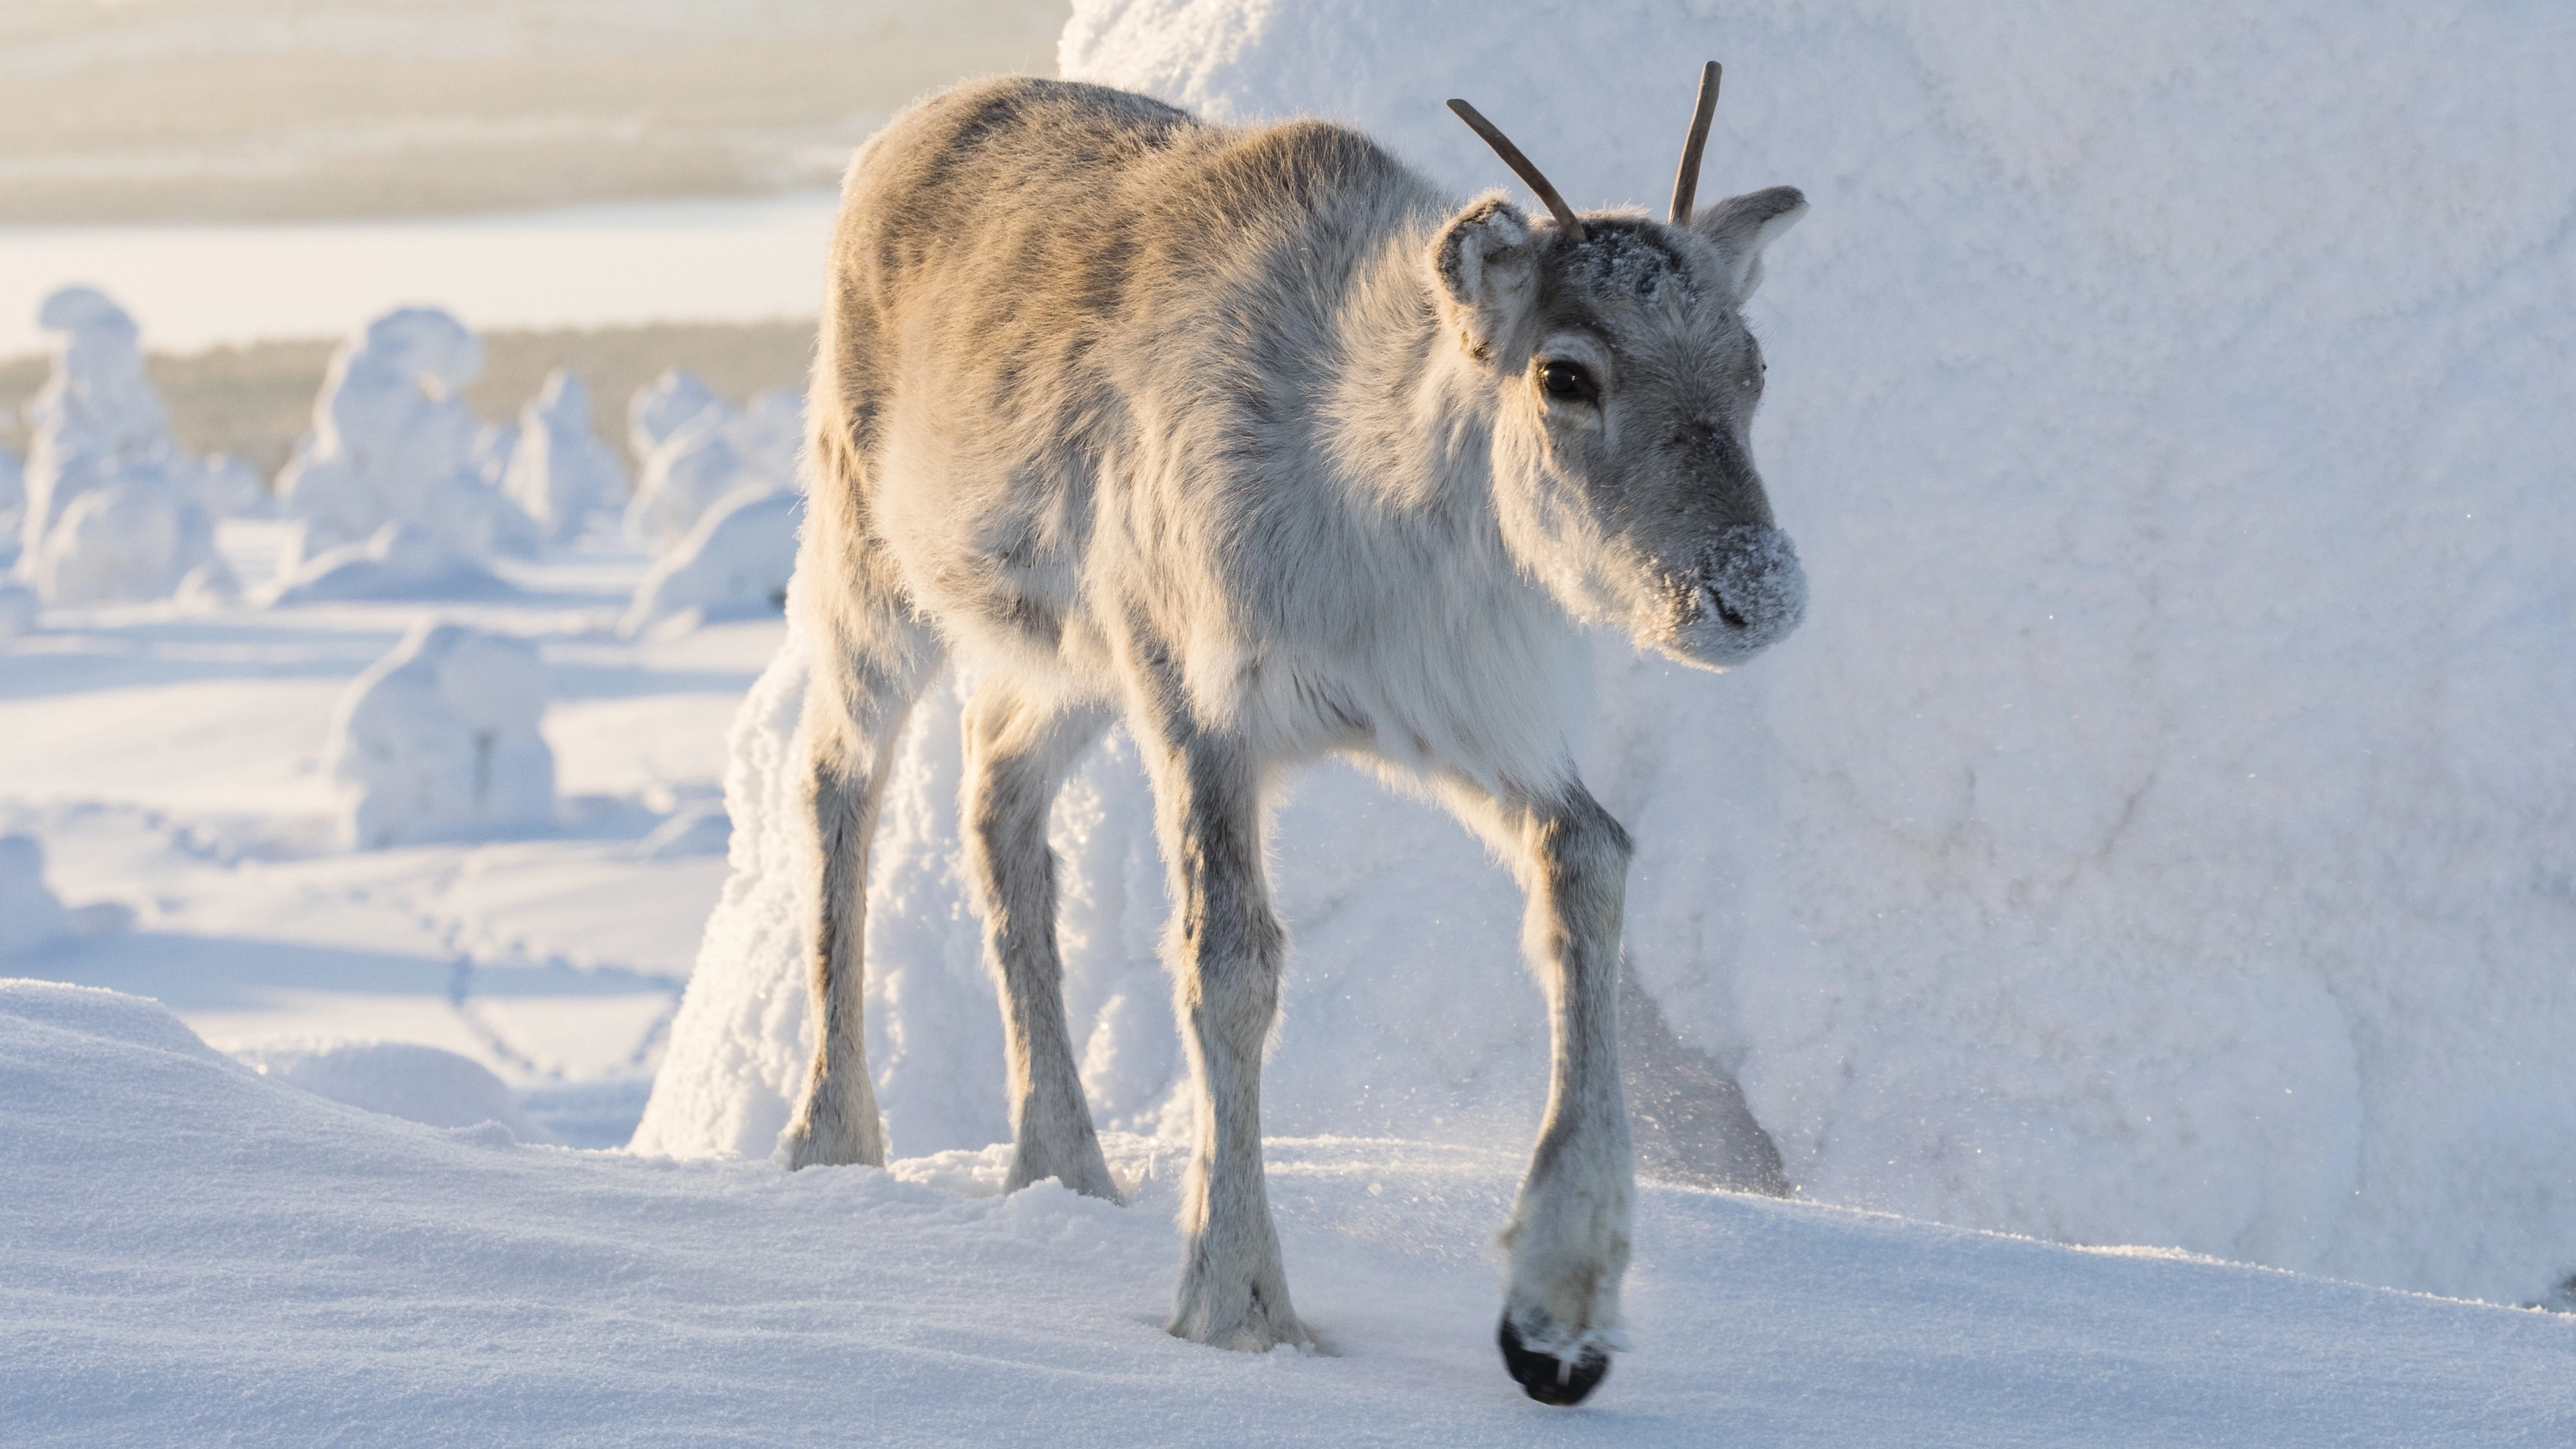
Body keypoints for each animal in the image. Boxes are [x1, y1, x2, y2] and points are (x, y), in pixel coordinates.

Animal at [780, 62, 1808, 1406]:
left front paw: (1557, 1320)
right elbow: (1229, 962)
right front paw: (1238, 1301)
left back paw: (1065, 1167)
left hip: (1064, 665)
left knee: (998, 802)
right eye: (1566, 374)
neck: (1372, 488)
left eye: (1751, 365)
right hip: (874, 566)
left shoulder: (1453, 715)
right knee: (835, 782)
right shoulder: (1197, 699)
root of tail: (904, 129)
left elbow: (1593, 858)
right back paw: (830, 1140)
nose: (1758, 591)